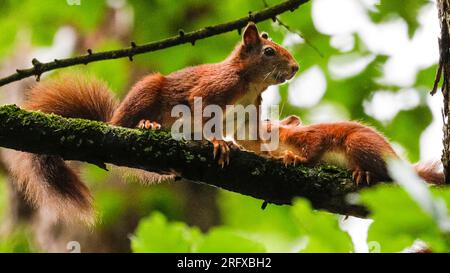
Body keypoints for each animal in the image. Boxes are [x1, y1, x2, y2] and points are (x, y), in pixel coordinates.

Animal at [6, 22, 298, 223]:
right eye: (269, 52)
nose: (295, 68)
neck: (252, 83)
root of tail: (112, 120)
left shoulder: (248, 114)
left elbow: (252, 138)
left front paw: (278, 155)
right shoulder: (213, 89)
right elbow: (203, 115)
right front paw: (217, 142)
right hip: (145, 93)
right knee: (128, 122)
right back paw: (147, 125)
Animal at [239, 115, 442, 185]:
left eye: (266, 120)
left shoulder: (311, 135)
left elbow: (313, 149)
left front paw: (295, 158)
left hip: (359, 142)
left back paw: (363, 173)